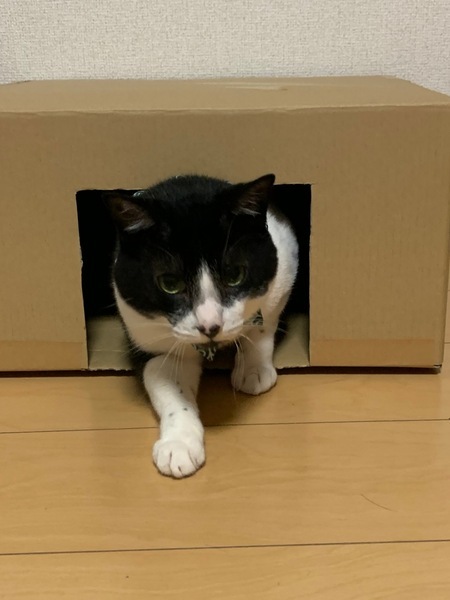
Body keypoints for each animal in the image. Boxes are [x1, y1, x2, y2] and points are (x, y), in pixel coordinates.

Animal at [105, 174, 298, 478]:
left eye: (234, 275)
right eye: (169, 284)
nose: (210, 326)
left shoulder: (284, 266)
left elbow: (262, 324)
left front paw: (253, 369)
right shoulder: (146, 333)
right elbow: (170, 389)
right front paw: (179, 445)